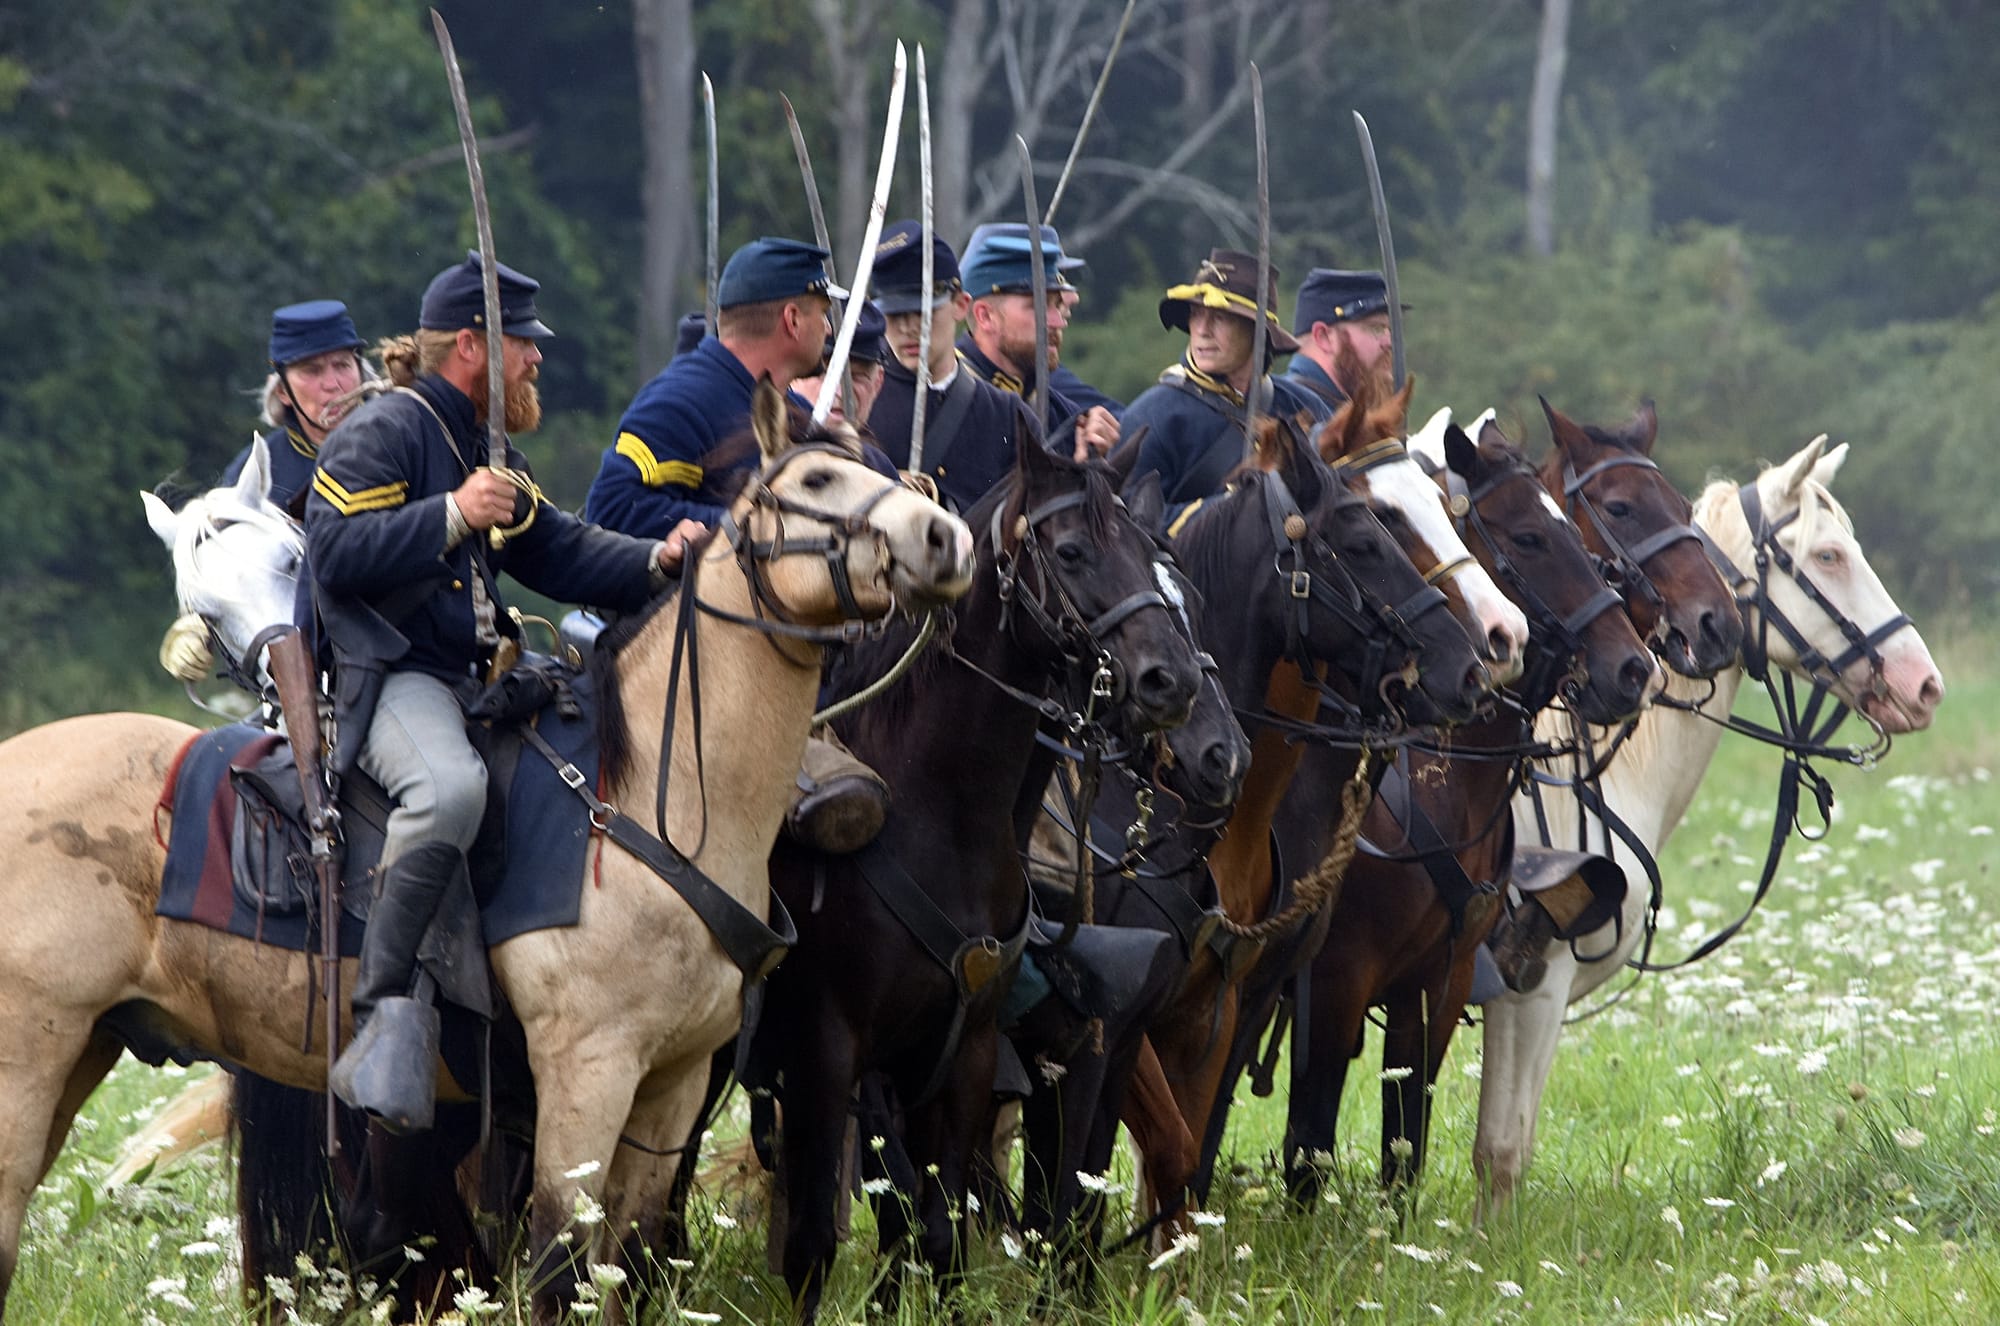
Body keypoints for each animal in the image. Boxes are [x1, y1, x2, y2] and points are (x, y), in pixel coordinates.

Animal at [0, 378, 976, 1320]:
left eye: (881, 466)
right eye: (815, 480)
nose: (947, 538)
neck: (648, 800)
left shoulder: (669, 1089)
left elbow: (624, 1267)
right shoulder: (585, 1079)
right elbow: (555, 1271)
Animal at [756, 430, 1200, 1320]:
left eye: (1148, 551)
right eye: (1071, 551)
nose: (1172, 682)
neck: (939, 818)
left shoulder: (963, 1055)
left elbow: (938, 1236)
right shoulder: (830, 1051)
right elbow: (819, 1243)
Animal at [1280, 410, 1656, 1200]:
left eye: (1575, 534)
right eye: (1528, 538)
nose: (1634, 669)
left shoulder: (1439, 985)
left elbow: (1404, 1147)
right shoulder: (1332, 986)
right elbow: (1310, 1145)